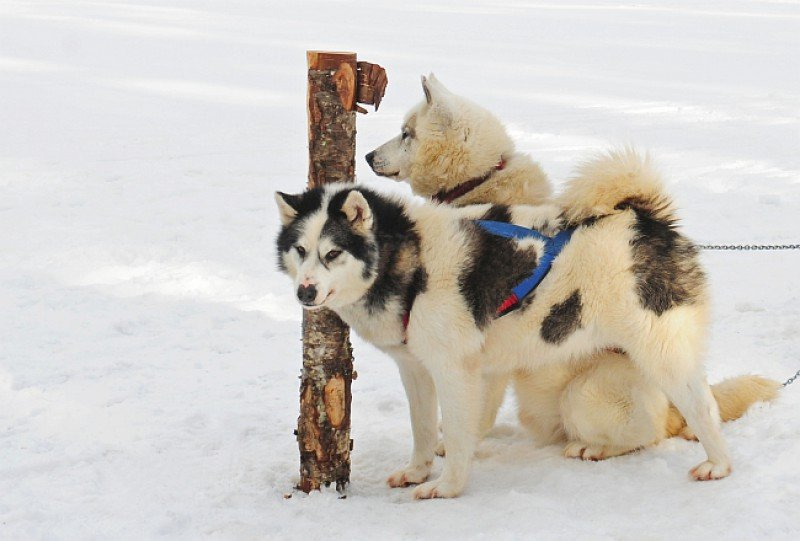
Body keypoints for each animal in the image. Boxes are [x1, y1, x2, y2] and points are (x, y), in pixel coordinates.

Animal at [274, 149, 768, 498]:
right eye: (300, 250)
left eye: (333, 252)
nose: (305, 293)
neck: (411, 260)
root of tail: (644, 218)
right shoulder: (416, 369)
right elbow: (422, 429)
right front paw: (416, 471)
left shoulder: (456, 372)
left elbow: (456, 436)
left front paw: (446, 487)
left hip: (640, 365)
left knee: (697, 411)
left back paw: (713, 464)